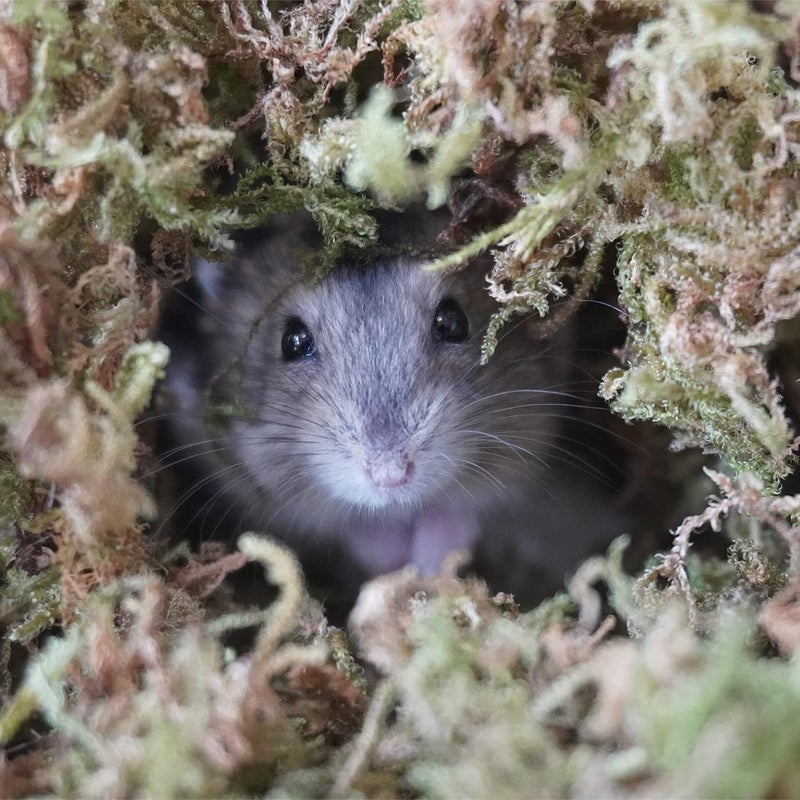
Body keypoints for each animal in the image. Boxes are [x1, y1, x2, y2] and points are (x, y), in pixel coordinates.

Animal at [156, 209, 627, 605]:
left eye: (453, 321)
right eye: (292, 340)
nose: (391, 476)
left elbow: (461, 511)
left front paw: (429, 566)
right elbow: (350, 526)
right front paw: (396, 562)